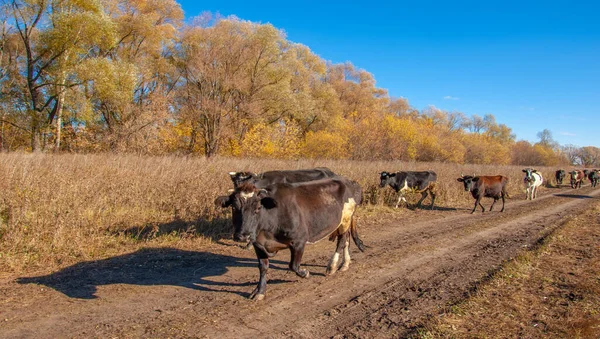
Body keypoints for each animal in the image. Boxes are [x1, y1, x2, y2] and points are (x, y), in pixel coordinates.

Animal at [227, 178, 366, 300]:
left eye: (257, 208)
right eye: (234, 208)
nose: (243, 235)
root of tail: (349, 181)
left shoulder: (299, 240)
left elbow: (293, 265)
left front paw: (305, 273)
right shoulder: (258, 245)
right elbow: (263, 267)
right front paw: (259, 292)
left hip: (345, 219)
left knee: (341, 241)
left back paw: (332, 266)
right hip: (345, 221)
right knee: (346, 240)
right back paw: (345, 264)